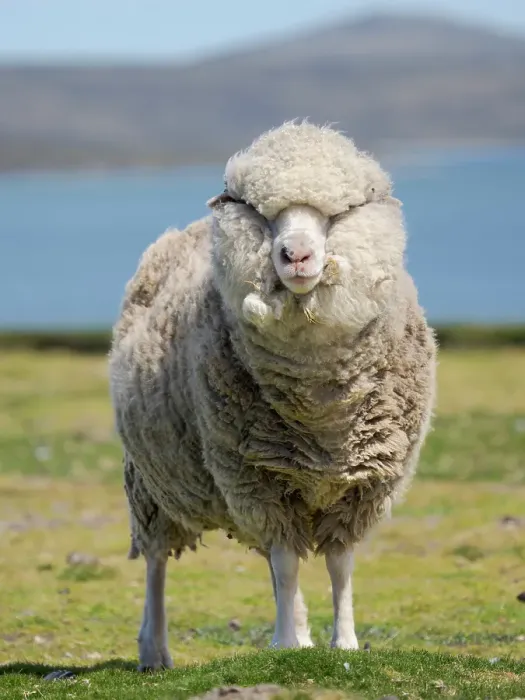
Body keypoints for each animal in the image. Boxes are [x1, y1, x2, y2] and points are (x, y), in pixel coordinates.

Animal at [108, 120, 437, 671]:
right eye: (261, 214)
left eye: (339, 213)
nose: (296, 256)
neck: (321, 410)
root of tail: (182, 233)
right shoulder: (258, 478)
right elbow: (286, 564)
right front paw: (284, 643)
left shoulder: (358, 483)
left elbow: (338, 565)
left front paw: (341, 641)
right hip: (153, 482)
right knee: (155, 561)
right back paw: (154, 650)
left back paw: (301, 631)